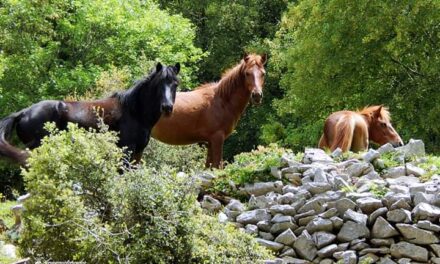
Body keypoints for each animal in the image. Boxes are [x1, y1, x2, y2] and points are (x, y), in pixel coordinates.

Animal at [0, 62, 180, 165]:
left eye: (175, 84)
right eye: (159, 84)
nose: (167, 107)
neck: (134, 112)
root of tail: (24, 112)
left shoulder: (138, 152)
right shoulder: (125, 150)